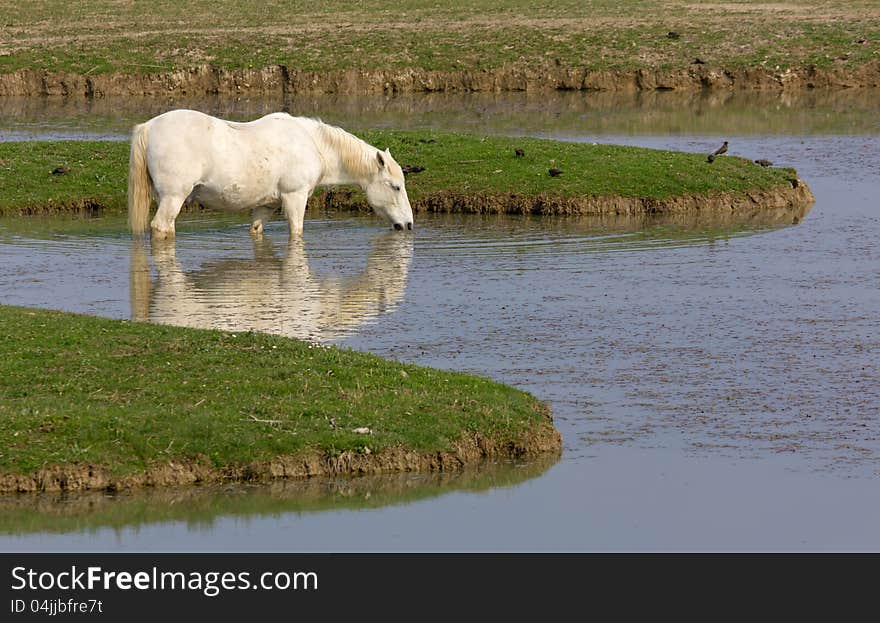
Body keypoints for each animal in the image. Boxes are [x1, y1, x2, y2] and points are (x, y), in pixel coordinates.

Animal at [125, 109, 414, 239]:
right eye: (396, 187)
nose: (409, 225)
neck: (313, 143)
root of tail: (149, 126)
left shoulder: (266, 206)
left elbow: (256, 230)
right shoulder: (295, 198)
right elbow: (296, 232)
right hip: (173, 198)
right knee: (160, 227)